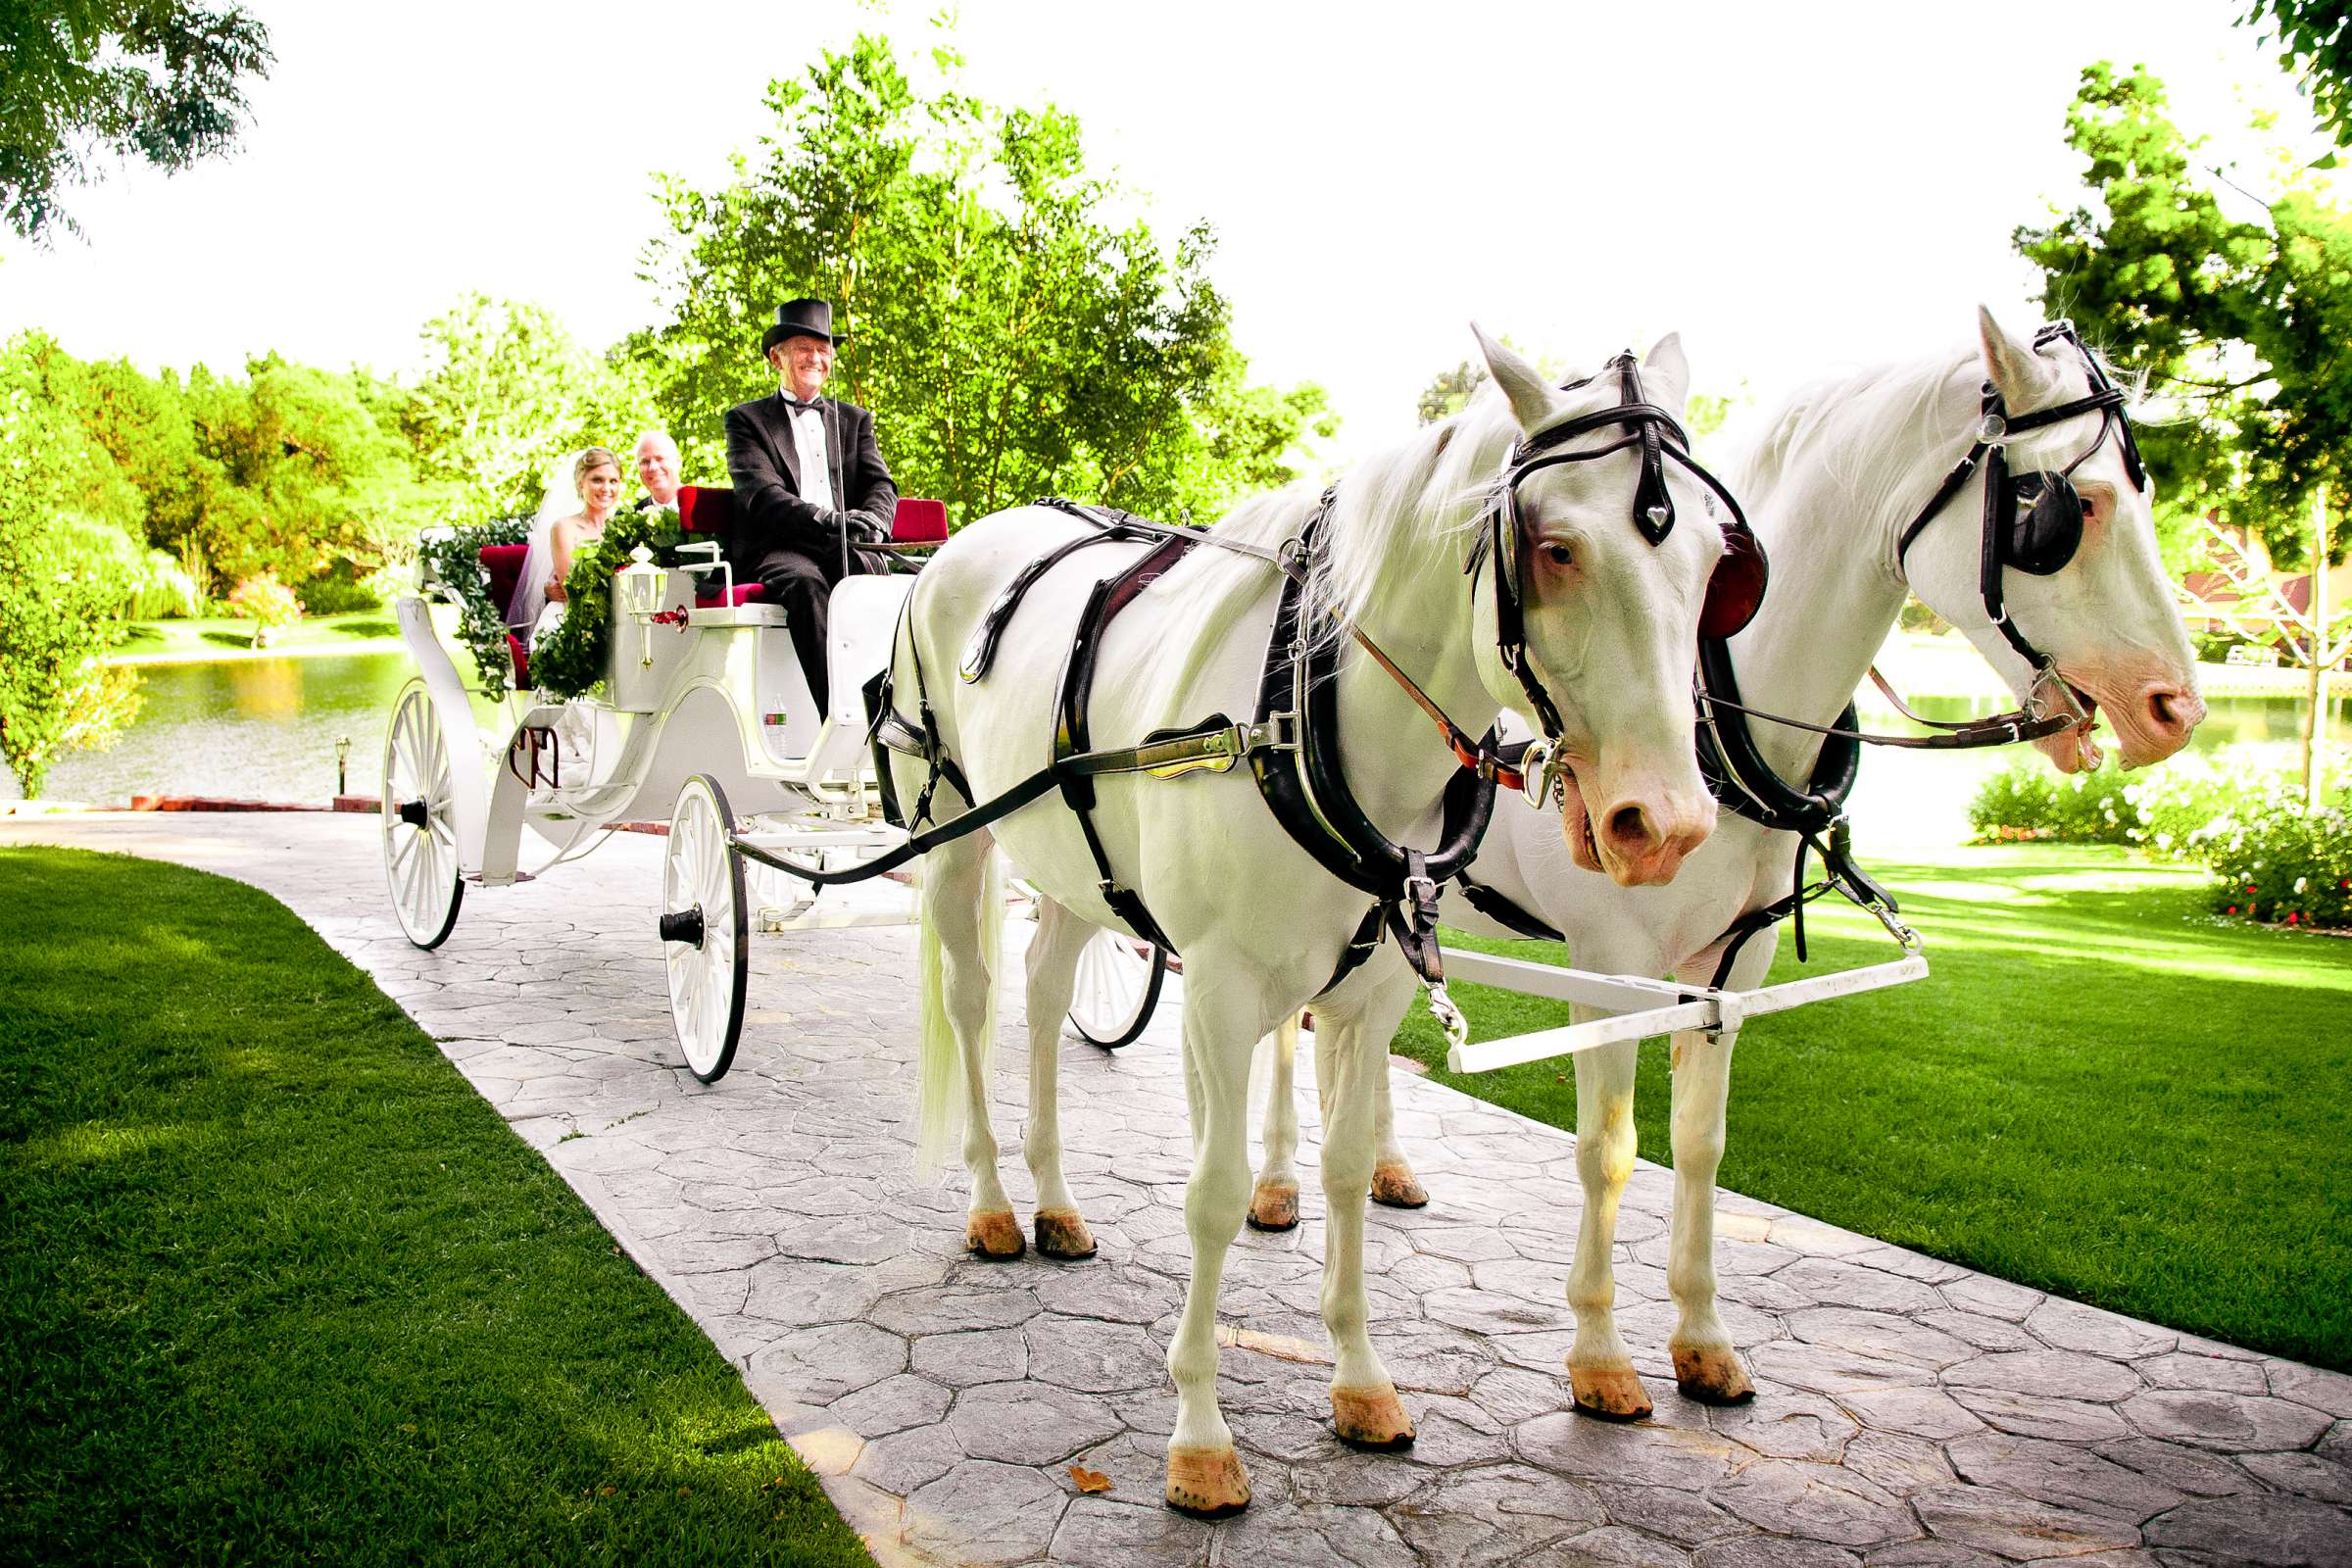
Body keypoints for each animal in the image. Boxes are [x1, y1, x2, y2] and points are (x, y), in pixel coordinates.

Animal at [889, 333, 1740, 1523]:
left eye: (1717, 562)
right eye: (1556, 548)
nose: (1664, 825)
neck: (1310, 709)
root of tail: (960, 542)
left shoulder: (1371, 993)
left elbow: (1343, 1168)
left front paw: (1359, 1378)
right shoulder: (1216, 984)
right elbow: (1212, 1194)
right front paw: (1201, 1436)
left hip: (1071, 864)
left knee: (1048, 992)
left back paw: (1054, 1198)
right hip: (954, 833)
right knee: (972, 1002)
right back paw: (994, 1202)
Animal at [1250, 305, 2201, 1419]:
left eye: (2146, 493)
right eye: (2065, 509)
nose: (2177, 707)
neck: (1721, 708)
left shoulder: (1735, 963)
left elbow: (1701, 1143)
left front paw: (1703, 1338)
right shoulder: (1610, 960)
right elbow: (1609, 1151)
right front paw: (1601, 1355)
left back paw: (1388, 1164)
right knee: (1287, 1028)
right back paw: (1276, 1183)